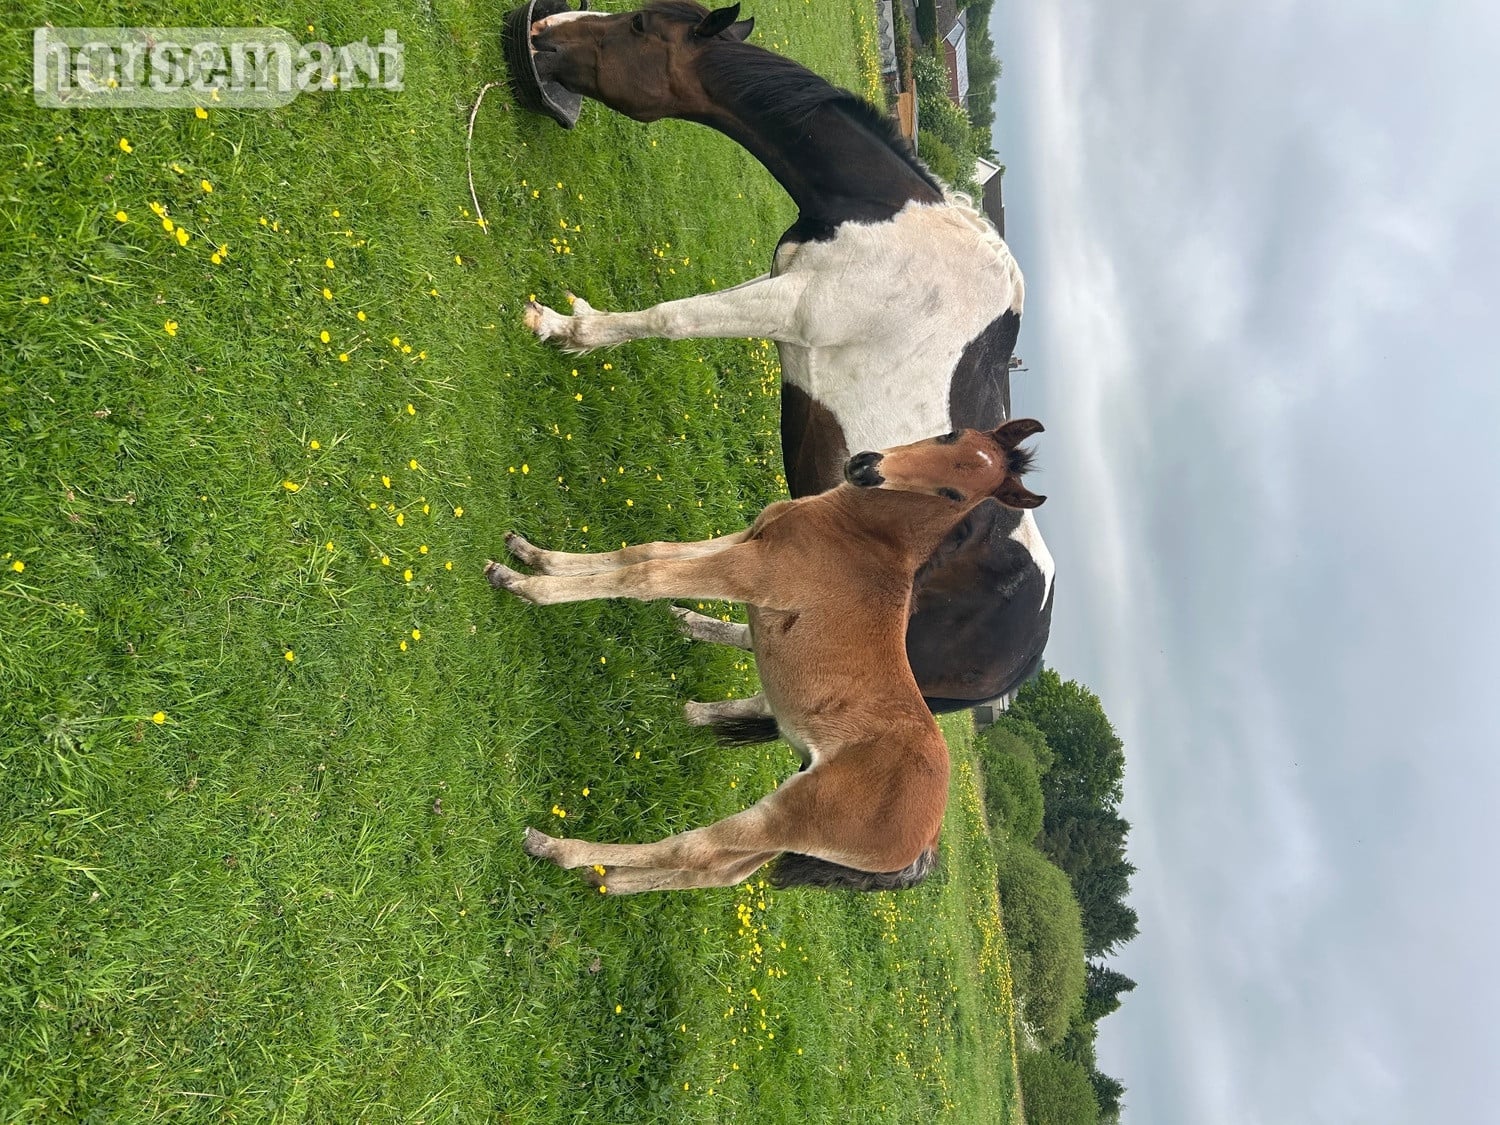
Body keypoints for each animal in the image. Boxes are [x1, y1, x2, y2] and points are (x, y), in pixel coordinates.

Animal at [486, 420, 1046, 893]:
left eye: (955, 494)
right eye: (951, 435)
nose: (866, 466)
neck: (860, 534)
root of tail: (927, 843)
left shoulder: (750, 570)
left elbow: (644, 576)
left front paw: (524, 585)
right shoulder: (747, 538)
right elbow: (645, 551)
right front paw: (533, 555)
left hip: (793, 813)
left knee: (697, 848)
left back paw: (559, 849)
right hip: (791, 828)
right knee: (719, 869)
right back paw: (611, 881)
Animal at [517, 1, 1055, 731]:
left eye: (637, 28)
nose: (543, 29)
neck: (887, 223)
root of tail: (1023, 662)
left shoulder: (793, 307)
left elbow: (670, 318)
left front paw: (566, 329)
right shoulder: (779, 285)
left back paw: (695, 711)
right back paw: (694, 622)